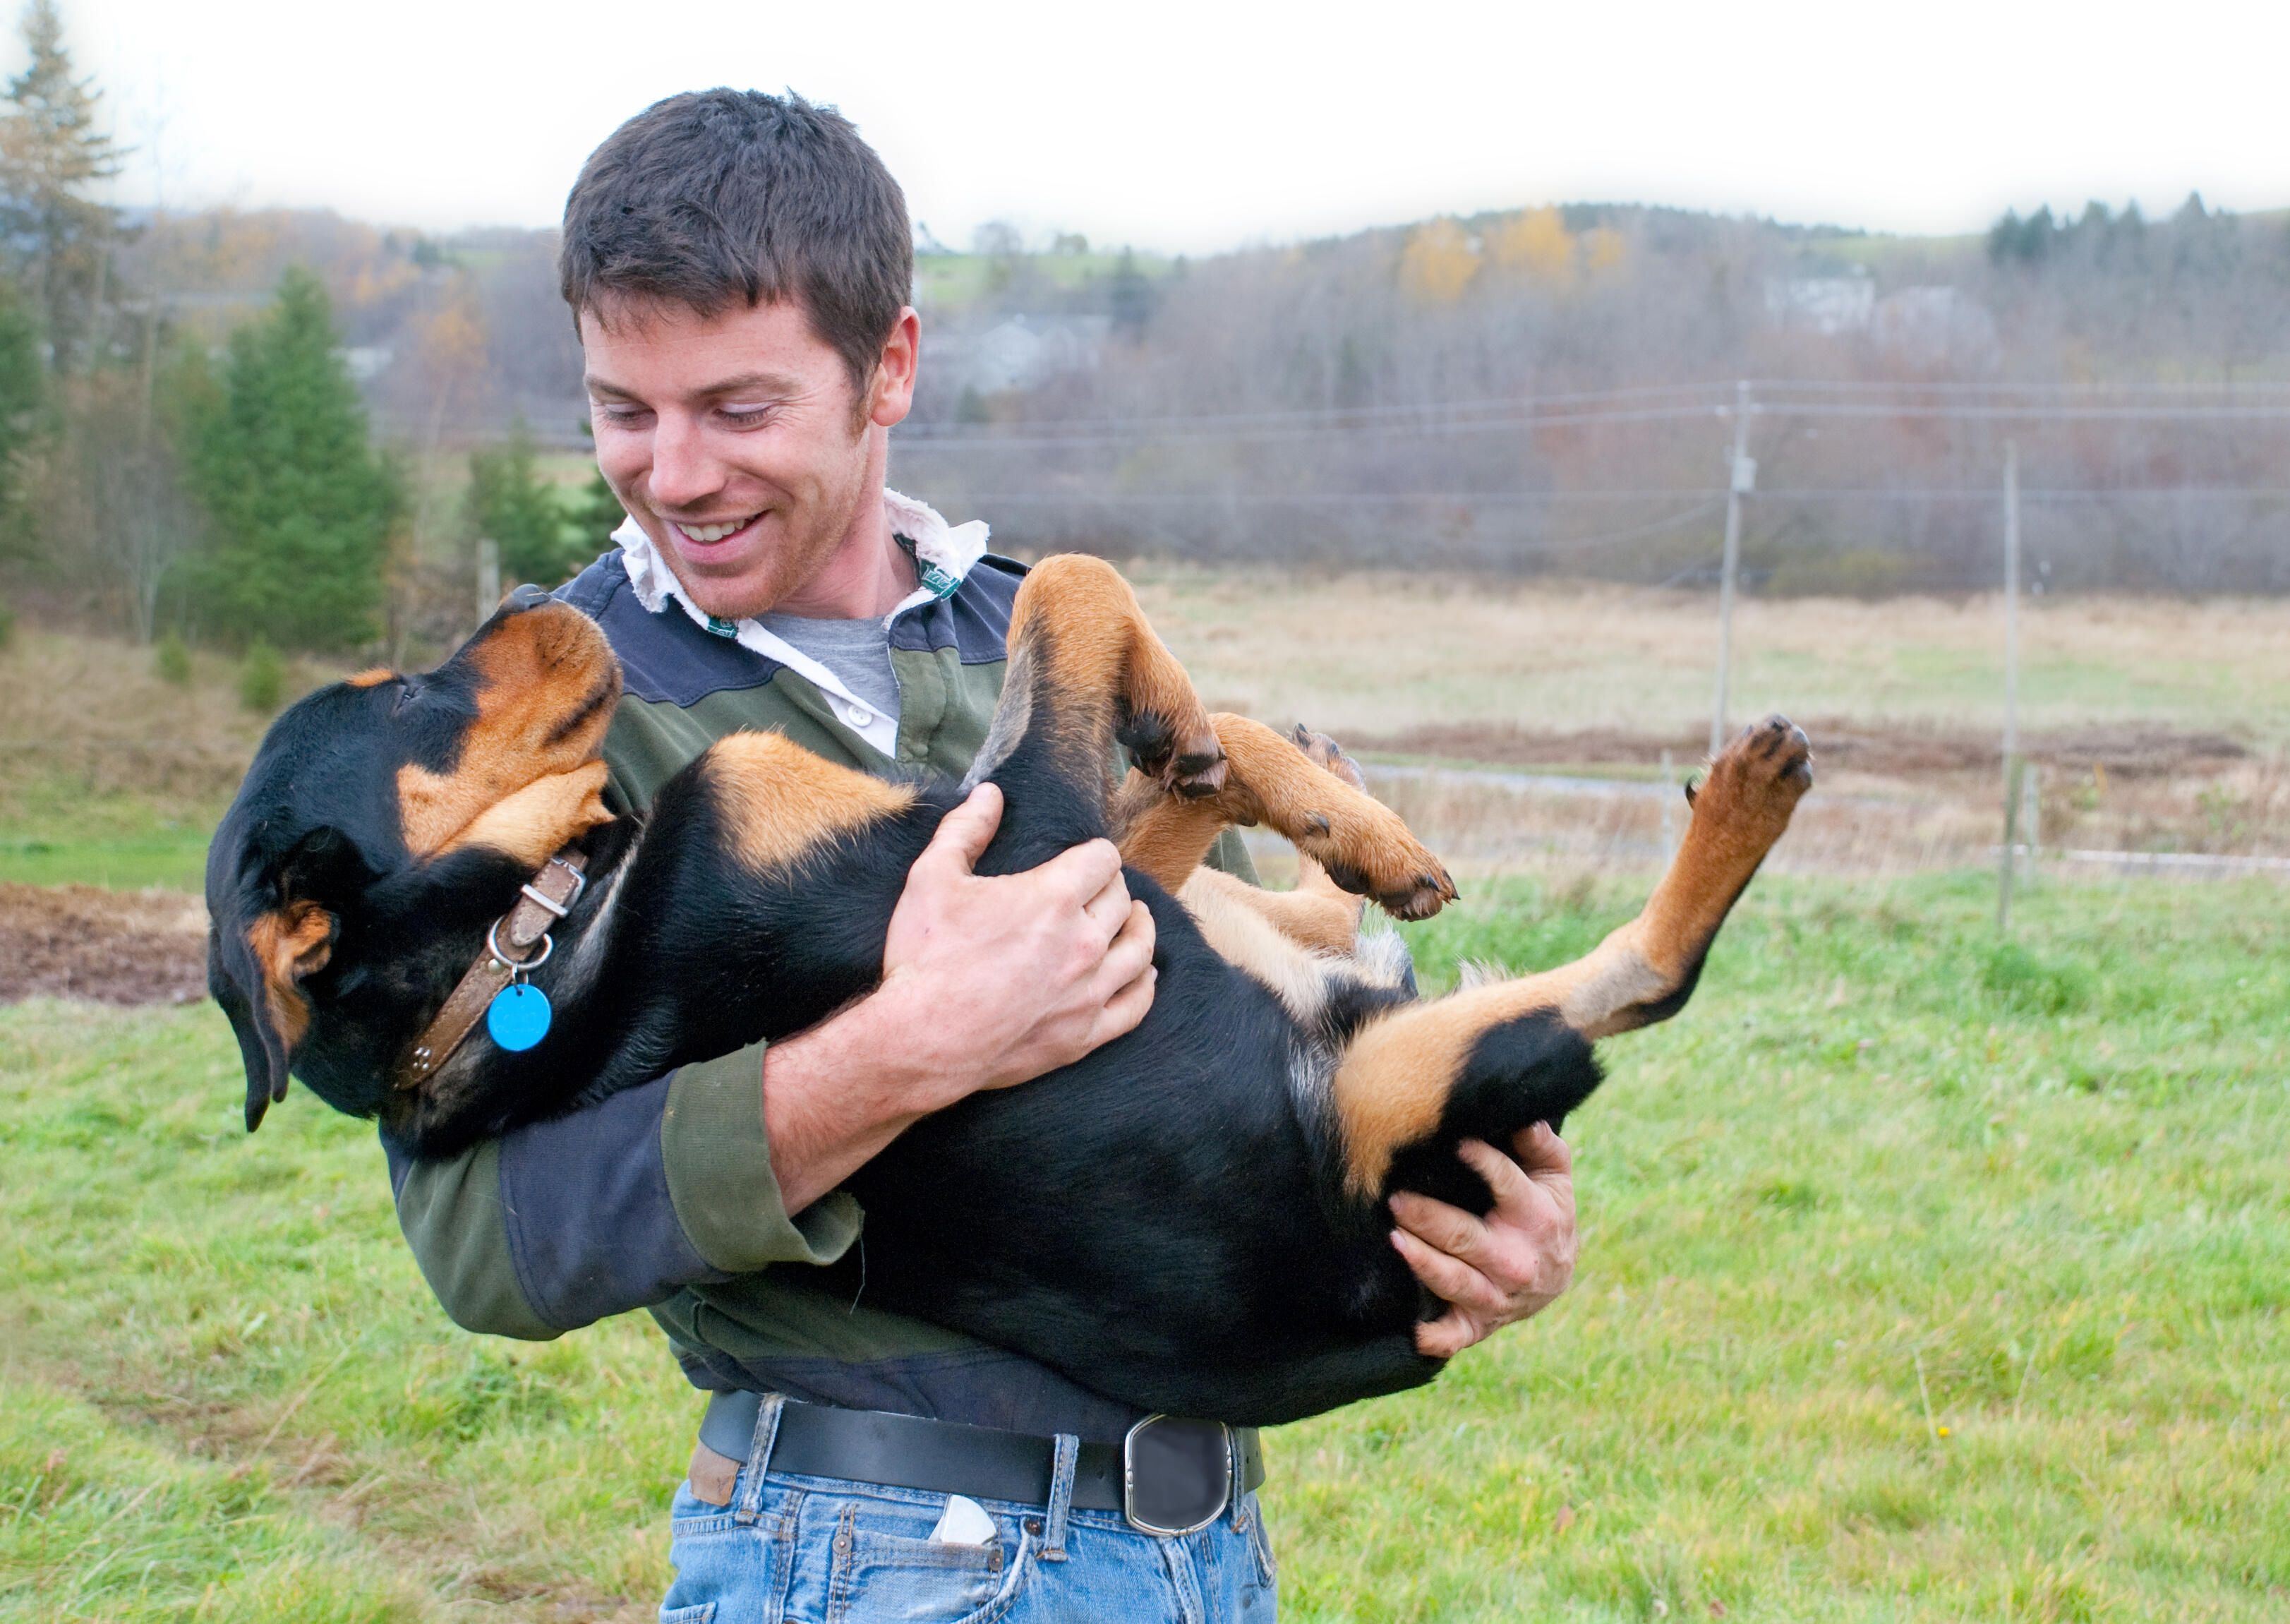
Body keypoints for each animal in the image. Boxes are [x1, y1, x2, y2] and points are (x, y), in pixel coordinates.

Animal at [210, 554, 1804, 1420]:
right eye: (408, 696)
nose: (542, 591)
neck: (529, 937)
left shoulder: (1085, 864)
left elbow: (1169, 721)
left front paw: (1293, 788)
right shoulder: (1031, 836)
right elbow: (1069, 588)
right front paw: (1200, 722)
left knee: (1280, 904)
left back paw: (1354, 828)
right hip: (1394, 1089)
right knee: (1645, 977)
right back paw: (1742, 794)